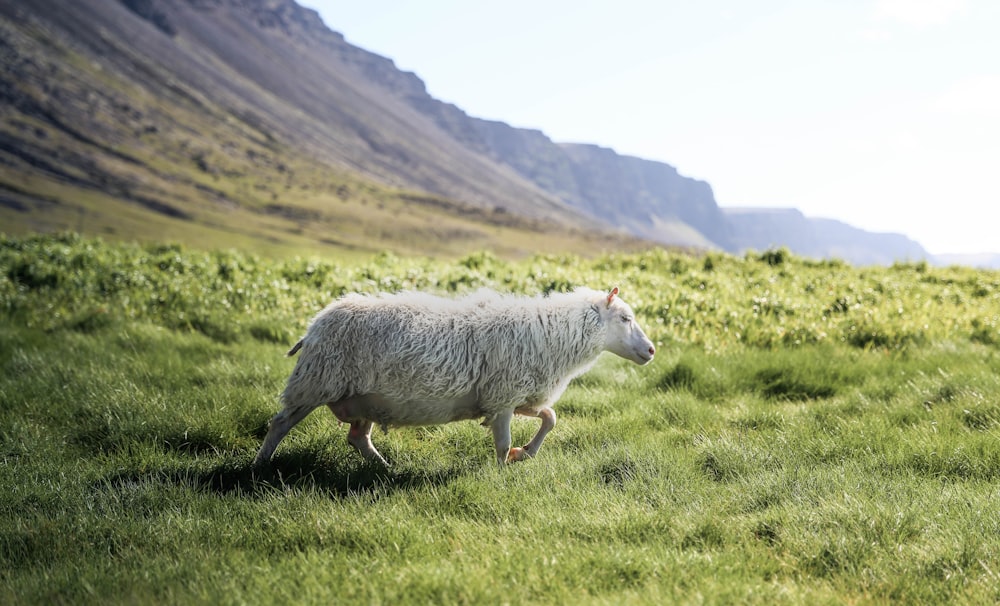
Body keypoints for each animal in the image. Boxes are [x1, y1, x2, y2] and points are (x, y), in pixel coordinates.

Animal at [254, 288, 652, 468]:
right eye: (625, 319)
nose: (651, 351)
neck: (552, 334)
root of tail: (315, 324)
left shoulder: (514, 396)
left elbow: (550, 418)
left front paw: (526, 453)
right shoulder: (502, 398)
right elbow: (503, 443)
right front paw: (502, 471)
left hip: (361, 399)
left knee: (358, 438)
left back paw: (385, 469)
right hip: (315, 383)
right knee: (280, 423)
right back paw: (260, 466)